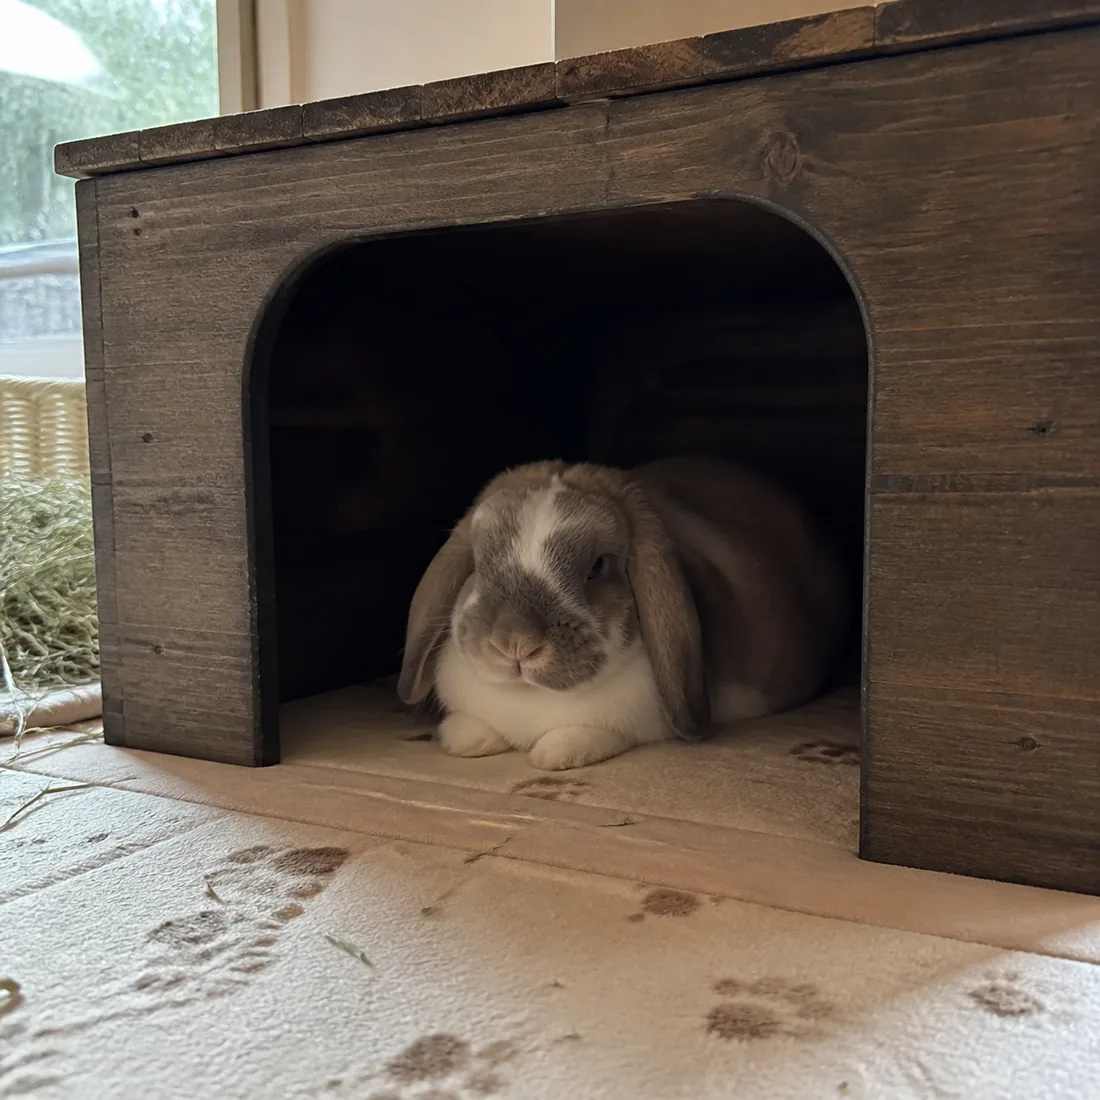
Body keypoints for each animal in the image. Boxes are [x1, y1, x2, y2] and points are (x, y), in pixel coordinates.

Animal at [397, 457, 849, 771]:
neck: (530, 698)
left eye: (597, 566)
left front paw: (555, 755)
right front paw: (465, 739)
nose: (514, 643)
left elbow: (584, 735)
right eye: (478, 561)